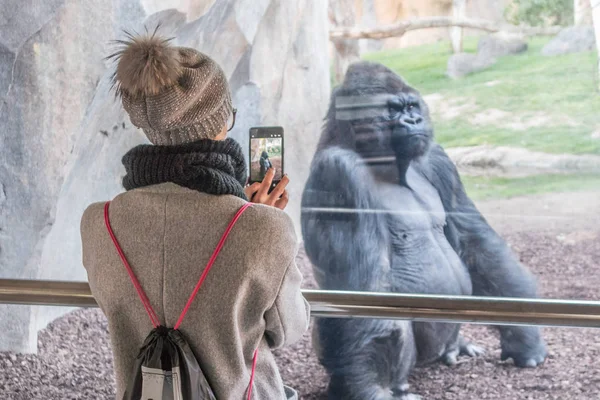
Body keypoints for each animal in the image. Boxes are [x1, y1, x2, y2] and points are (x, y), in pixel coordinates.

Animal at [302, 61, 548, 398]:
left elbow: (477, 245)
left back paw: (457, 346)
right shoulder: (338, 172)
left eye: (411, 106)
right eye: (393, 110)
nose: (414, 120)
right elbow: (366, 291)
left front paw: (524, 338)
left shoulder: (438, 159)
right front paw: (369, 389)